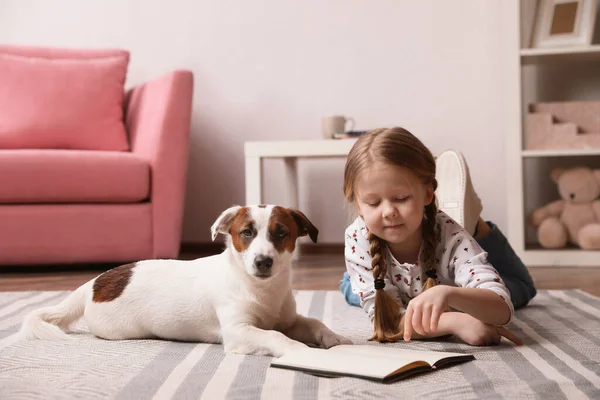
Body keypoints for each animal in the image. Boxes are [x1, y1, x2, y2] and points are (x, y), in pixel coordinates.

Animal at [19, 206, 352, 356]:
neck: (262, 289)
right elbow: (275, 337)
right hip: (117, 328)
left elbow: (312, 323)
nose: (263, 261)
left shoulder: (288, 319)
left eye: (281, 233)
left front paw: (333, 337)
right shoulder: (238, 332)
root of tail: (95, 283)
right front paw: (301, 350)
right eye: (246, 233)